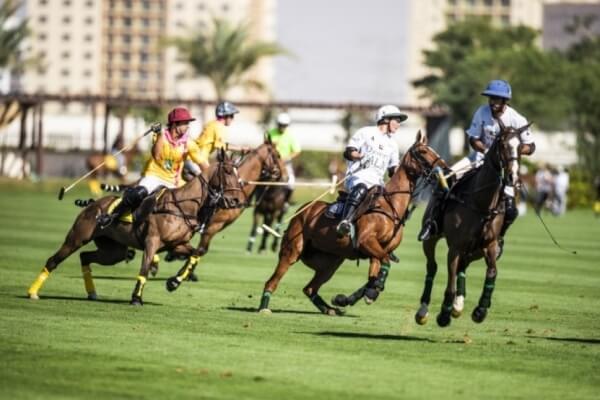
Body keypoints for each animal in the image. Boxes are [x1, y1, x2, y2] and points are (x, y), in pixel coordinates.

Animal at [28, 150, 246, 306]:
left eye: (238, 174)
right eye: (227, 172)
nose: (236, 200)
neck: (183, 206)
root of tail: (91, 204)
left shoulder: (176, 245)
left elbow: (196, 254)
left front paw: (174, 282)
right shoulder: (152, 241)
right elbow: (145, 268)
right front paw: (136, 298)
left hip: (113, 251)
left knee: (85, 257)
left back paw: (92, 293)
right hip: (77, 237)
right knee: (54, 260)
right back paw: (32, 292)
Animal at [163, 142, 288, 286]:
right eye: (278, 155)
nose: (285, 176)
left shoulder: (216, 226)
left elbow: (198, 250)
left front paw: (183, 270)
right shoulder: (213, 225)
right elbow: (200, 250)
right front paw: (180, 274)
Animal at [255, 133, 448, 318]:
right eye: (423, 151)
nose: (446, 169)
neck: (390, 206)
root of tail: (303, 210)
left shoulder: (377, 251)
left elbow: (374, 276)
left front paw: (353, 297)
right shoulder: (367, 242)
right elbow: (384, 264)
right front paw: (369, 292)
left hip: (331, 262)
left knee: (310, 288)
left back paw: (330, 309)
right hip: (293, 250)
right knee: (272, 281)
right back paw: (264, 308)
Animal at [414, 123, 528, 326]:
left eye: (521, 146)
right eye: (503, 144)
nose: (513, 177)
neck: (481, 204)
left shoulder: (490, 245)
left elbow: (492, 272)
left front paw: (481, 310)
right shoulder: (456, 247)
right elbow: (450, 280)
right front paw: (444, 313)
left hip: (475, 251)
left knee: (462, 267)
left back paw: (458, 305)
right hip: (431, 240)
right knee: (432, 267)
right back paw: (424, 310)